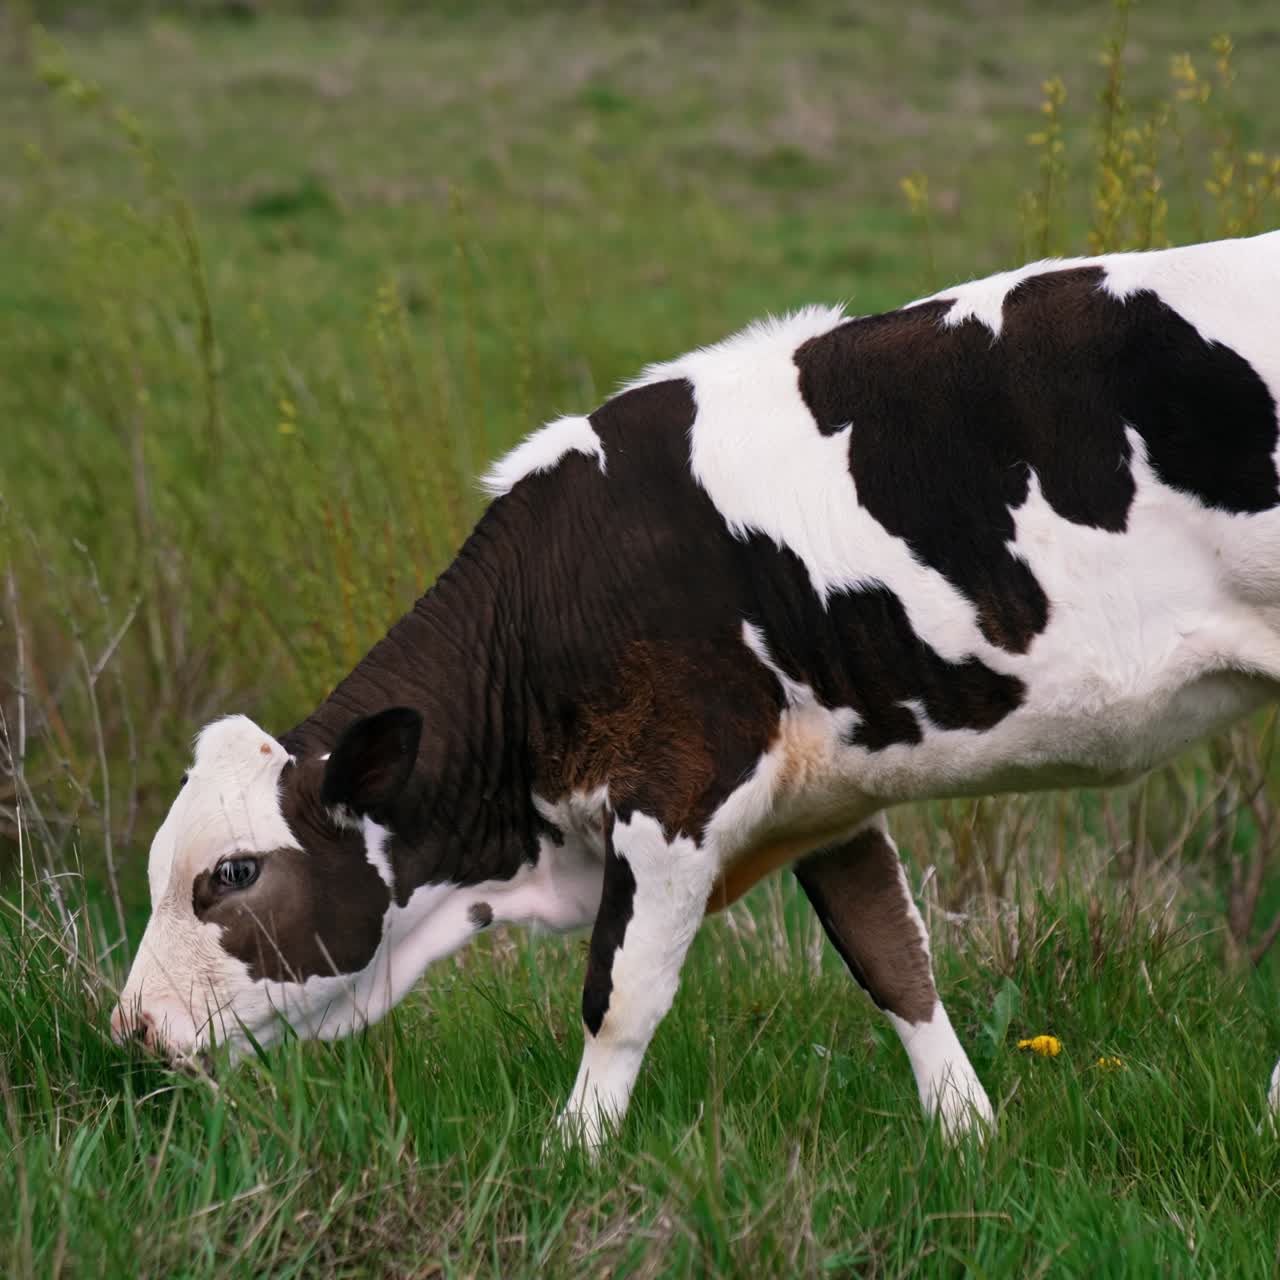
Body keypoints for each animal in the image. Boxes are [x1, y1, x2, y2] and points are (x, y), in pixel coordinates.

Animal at [112, 231, 1280, 1146]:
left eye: (231, 874)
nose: (132, 1029)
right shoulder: (829, 796)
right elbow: (894, 961)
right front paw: (969, 1138)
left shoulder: (673, 789)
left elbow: (615, 996)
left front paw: (570, 1156)